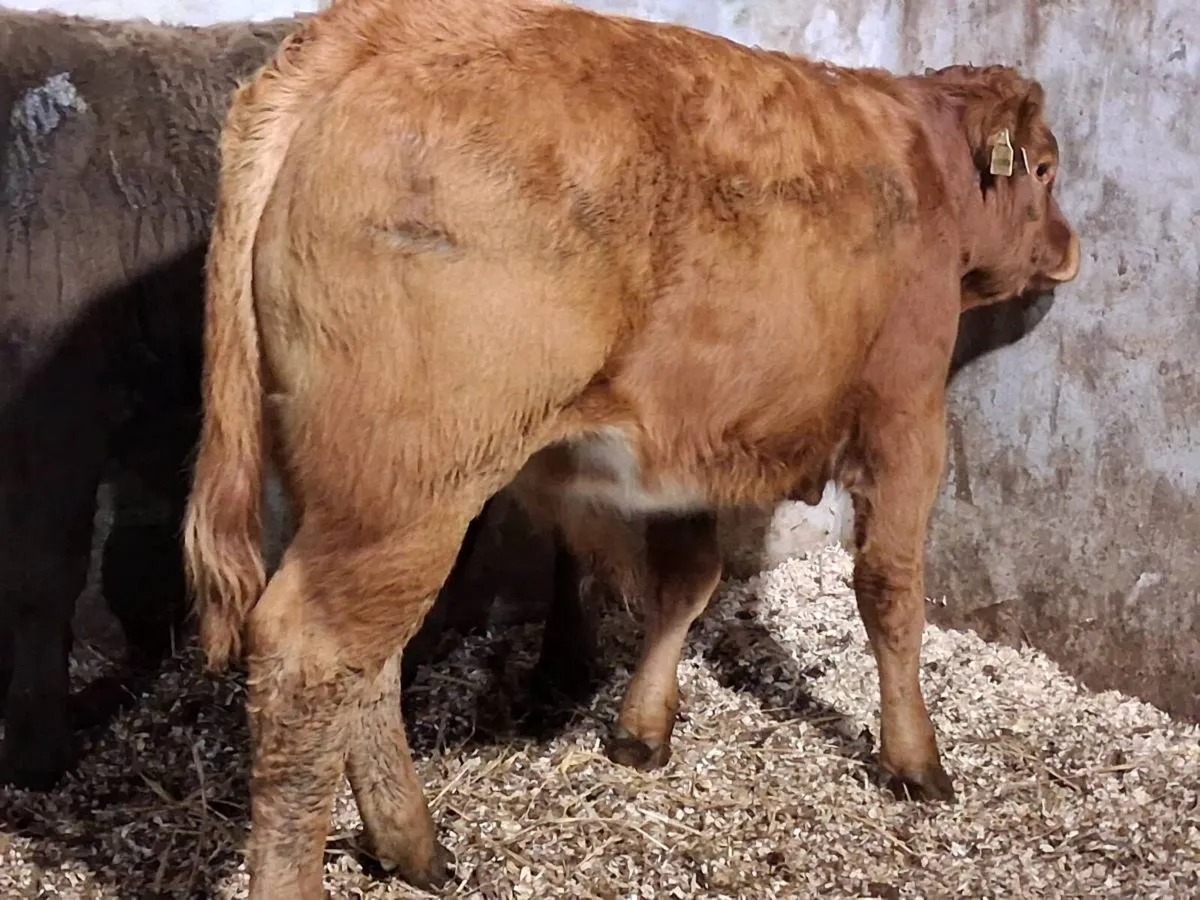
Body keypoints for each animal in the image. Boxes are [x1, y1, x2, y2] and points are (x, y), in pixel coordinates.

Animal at [183, 0, 1081, 895]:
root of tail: (364, 31)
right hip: (406, 488)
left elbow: (686, 581)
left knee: (368, 665)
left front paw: (642, 729)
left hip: (355, 495)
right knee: (311, 659)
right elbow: (890, 593)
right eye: (1043, 170)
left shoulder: (697, 438)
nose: (1070, 246)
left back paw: (413, 845)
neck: (919, 162)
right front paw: (914, 759)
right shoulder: (906, 413)